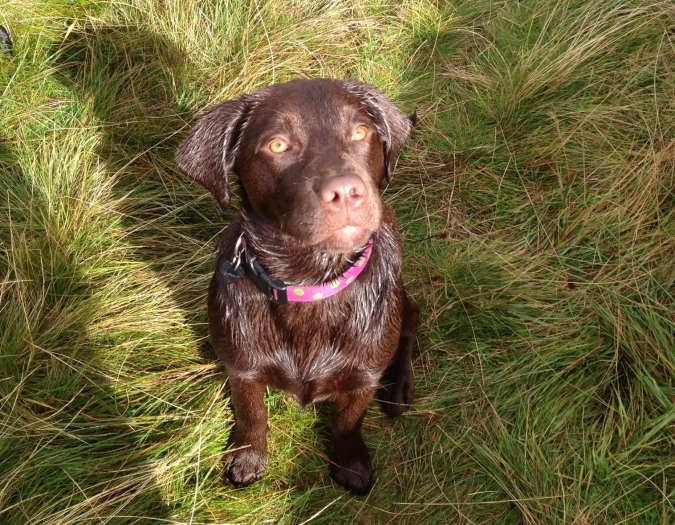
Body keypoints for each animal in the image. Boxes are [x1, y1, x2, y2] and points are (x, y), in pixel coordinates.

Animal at [177, 78, 420, 494]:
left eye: (361, 132)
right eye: (278, 145)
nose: (346, 192)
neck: (310, 283)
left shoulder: (364, 375)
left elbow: (348, 422)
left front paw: (350, 463)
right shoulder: (241, 368)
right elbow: (251, 415)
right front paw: (247, 457)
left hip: (401, 304)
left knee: (410, 327)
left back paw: (399, 389)